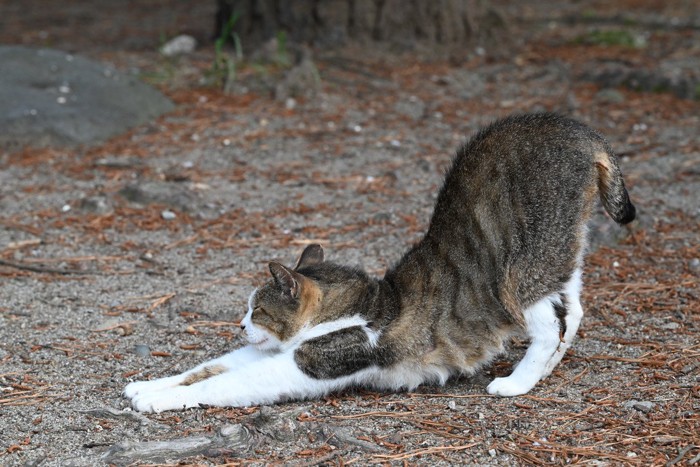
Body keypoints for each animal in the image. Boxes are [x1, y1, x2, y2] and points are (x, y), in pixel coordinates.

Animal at [124, 113, 636, 414]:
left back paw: (518, 383)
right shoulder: (274, 353)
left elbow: (216, 384)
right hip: (557, 259)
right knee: (574, 312)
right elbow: (206, 368)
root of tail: (577, 128)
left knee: (550, 324)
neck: (359, 305)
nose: (241, 325)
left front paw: (157, 401)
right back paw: (546, 368)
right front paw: (148, 386)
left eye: (258, 310)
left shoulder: (307, 365)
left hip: (521, 273)